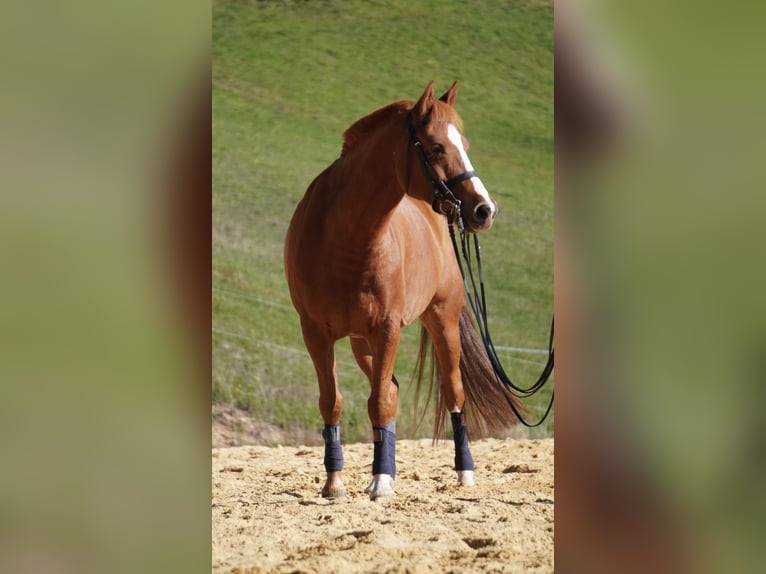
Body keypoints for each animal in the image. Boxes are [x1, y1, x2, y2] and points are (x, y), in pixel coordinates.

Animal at [284, 81, 524, 500]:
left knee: (453, 392)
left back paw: (464, 472)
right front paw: (335, 482)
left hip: (441, 323)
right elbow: (333, 402)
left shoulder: (387, 328)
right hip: (361, 341)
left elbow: (379, 402)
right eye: (437, 147)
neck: (342, 238)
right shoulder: (315, 332)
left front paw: (381, 482)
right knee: (393, 391)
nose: (484, 210)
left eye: (464, 143)